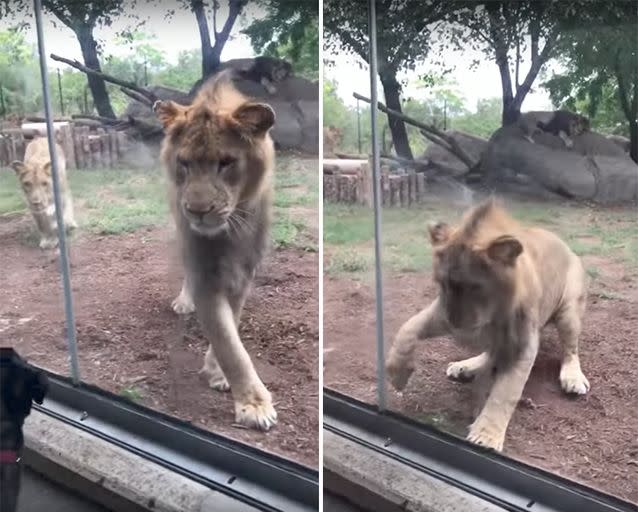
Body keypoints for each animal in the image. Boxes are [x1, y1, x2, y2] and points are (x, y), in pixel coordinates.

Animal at [154, 71, 278, 432]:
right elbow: (229, 345)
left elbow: (230, 326)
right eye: (184, 163)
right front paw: (254, 405)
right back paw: (184, 302)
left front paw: (217, 373)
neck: (230, 231)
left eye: (225, 163)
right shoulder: (204, 272)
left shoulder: (242, 274)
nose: (197, 211)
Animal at [384, 198, 592, 450]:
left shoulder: (522, 343)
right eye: (442, 283)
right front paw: (398, 375)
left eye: (475, 287)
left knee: (571, 349)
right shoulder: (441, 312)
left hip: (568, 311)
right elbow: (408, 328)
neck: (492, 316)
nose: (456, 326)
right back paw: (464, 367)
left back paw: (572, 378)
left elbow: (504, 393)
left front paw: (486, 437)